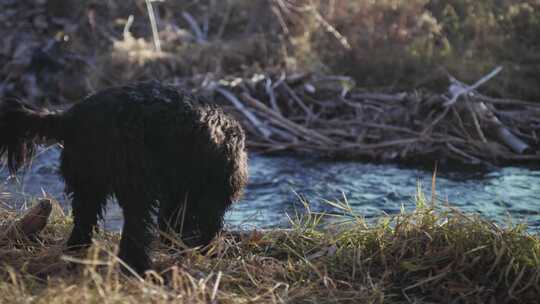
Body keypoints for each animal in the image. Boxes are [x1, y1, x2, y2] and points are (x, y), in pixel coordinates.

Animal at [0, 82, 249, 274]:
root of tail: (72, 117)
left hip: (88, 184)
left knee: (83, 224)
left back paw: (76, 258)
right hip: (136, 185)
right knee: (134, 231)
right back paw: (139, 268)